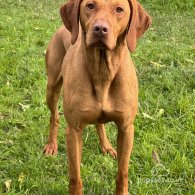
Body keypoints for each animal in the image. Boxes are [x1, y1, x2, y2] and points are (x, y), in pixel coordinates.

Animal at [43, 0, 152, 193]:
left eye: (119, 10)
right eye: (90, 6)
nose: (100, 29)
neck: (102, 71)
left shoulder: (126, 128)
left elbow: (122, 172)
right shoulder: (74, 130)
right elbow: (75, 176)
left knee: (99, 124)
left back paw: (106, 146)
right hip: (51, 87)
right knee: (54, 116)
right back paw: (51, 145)